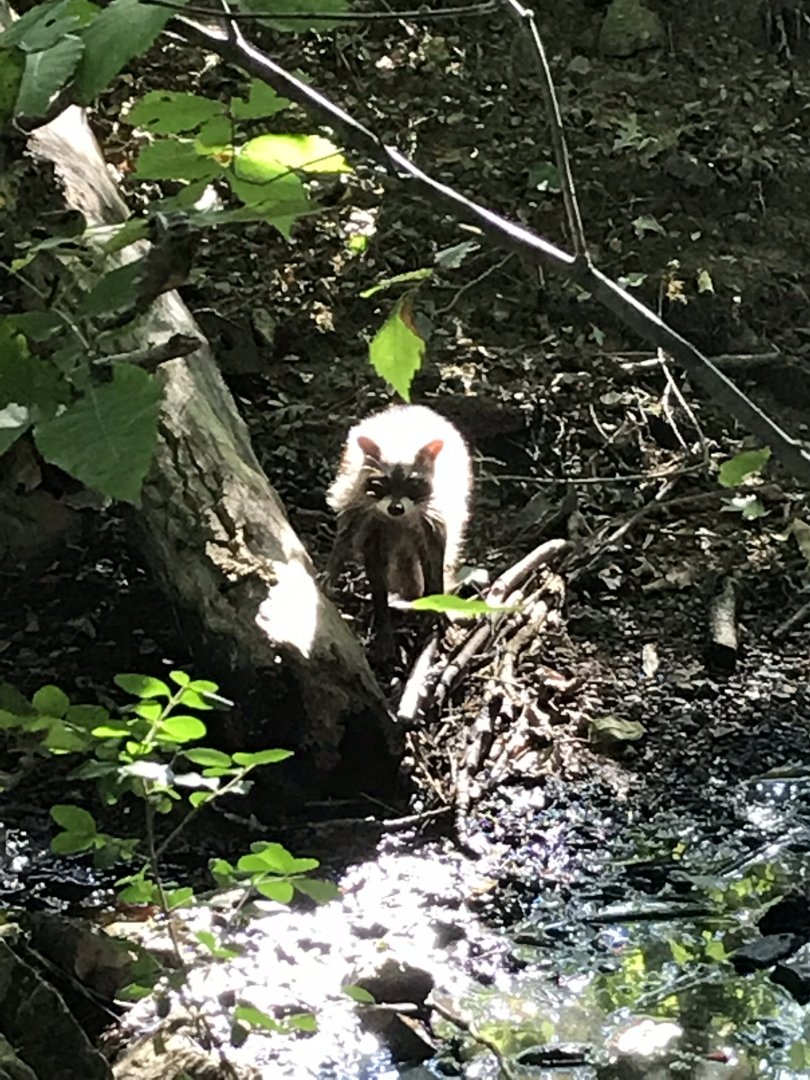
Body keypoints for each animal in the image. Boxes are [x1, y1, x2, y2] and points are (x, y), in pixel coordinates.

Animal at [326, 404, 472, 658]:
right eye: (381, 483)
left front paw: (436, 601)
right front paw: (382, 619)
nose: (396, 508)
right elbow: (370, 563)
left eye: (412, 484)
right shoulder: (365, 512)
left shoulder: (436, 512)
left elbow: (435, 558)